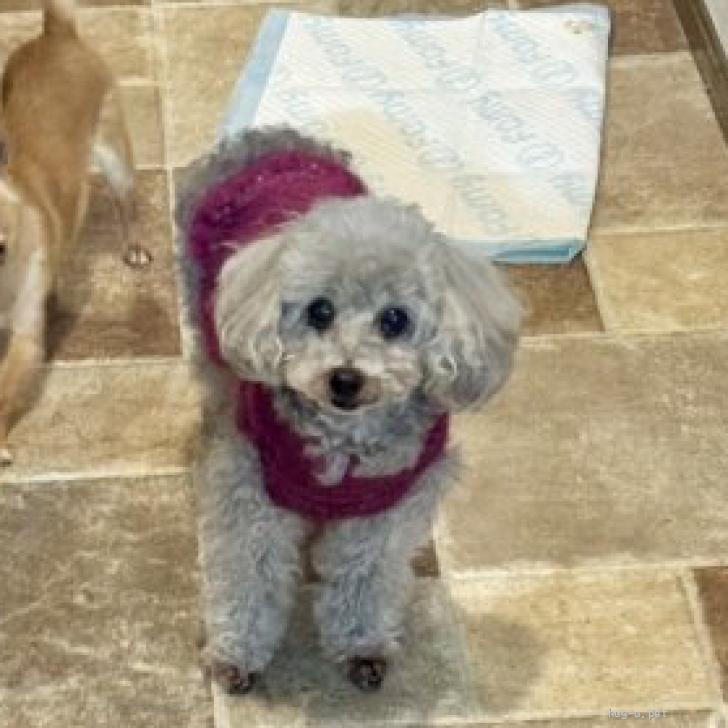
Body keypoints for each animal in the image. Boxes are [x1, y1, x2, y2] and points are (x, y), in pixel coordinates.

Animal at [0, 0, 150, 464]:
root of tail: (57, 31)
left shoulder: (24, 341)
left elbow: (2, 392)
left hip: (117, 160)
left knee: (126, 206)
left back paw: (134, 247)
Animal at [176, 127, 520, 694]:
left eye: (395, 319)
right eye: (320, 311)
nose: (345, 378)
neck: (343, 441)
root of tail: (271, 136)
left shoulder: (388, 506)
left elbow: (366, 575)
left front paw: (362, 644)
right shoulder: (249, 491)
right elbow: (250, 575)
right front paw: (237, 652)